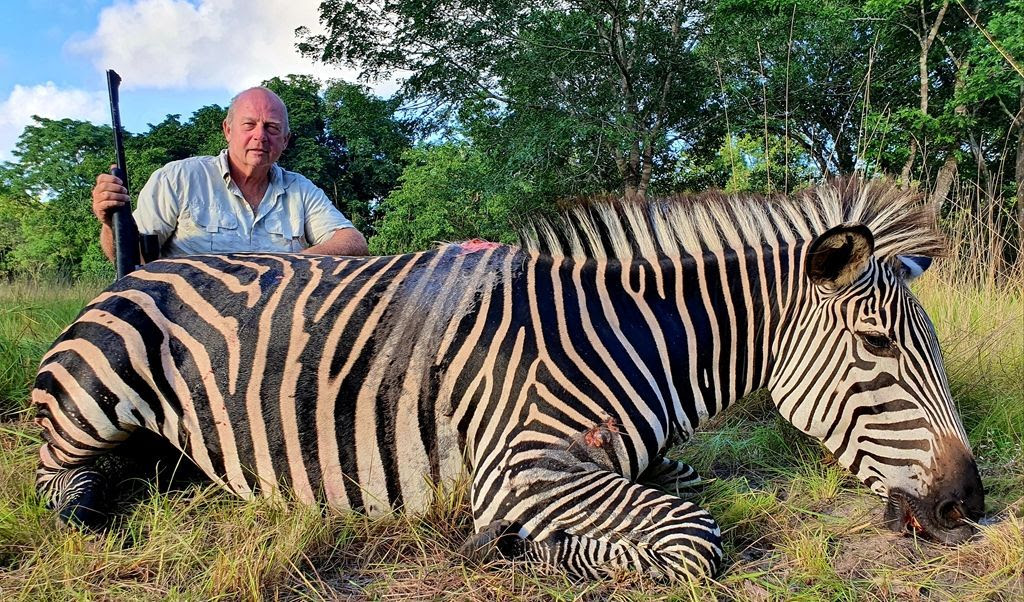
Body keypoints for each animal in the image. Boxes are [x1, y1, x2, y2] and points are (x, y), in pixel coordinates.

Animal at [33, 178, 984, 582]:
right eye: (877, 347)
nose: (967, 505)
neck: (630, 341)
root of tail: (143, 267)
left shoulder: (626, 458)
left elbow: (690, 485)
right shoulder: (525, 467)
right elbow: (694, 538)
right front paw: (523, 546)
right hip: (91, 394)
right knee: (56, 484)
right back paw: (97, 508)